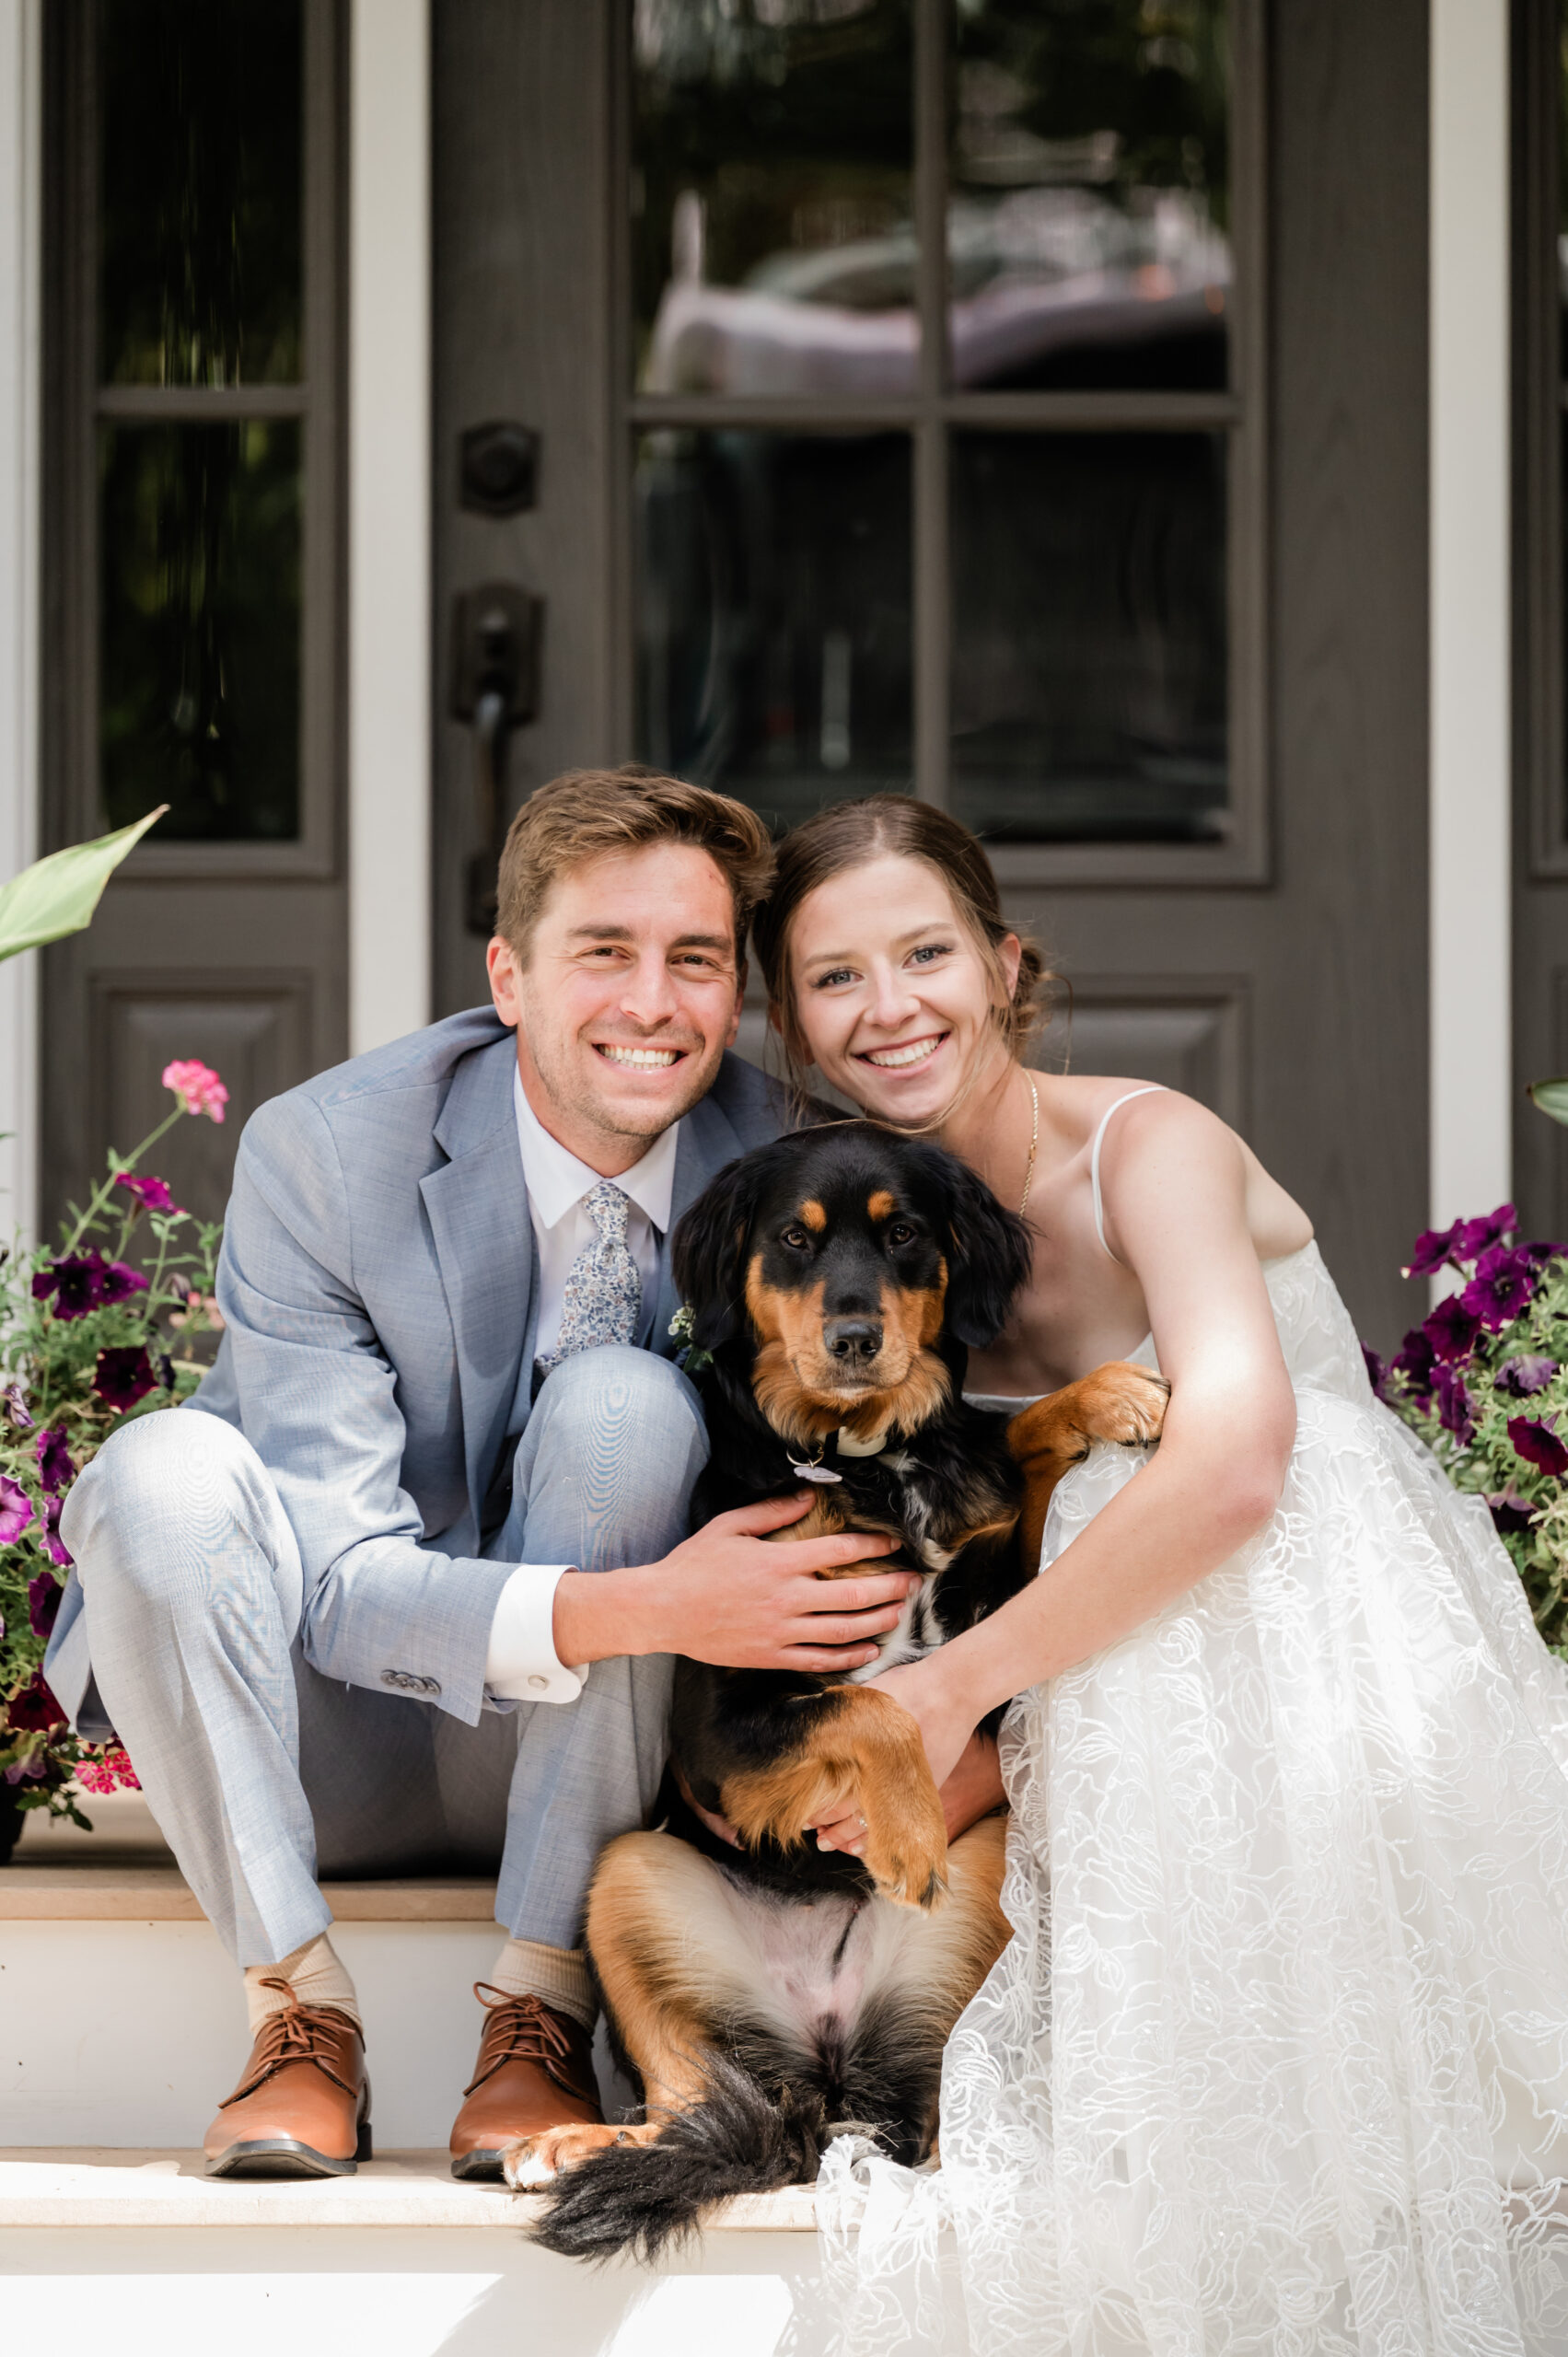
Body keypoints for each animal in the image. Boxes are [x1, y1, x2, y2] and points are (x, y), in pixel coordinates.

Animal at [511, 1126, 1159, 2262]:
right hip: (630, 1872)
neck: (863, 1468)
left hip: (989, 1870)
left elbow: (1017, 1458)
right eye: (792, 1241)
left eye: (902, 1234)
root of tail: (825, 2055)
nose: (855, 1338)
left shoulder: (996, 1593)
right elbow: (873, 1706)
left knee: (938, 2117)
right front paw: (901, 1836)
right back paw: (572, 2142)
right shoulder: (721, 1737)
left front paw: (1104, 1392)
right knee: (686, 2098)